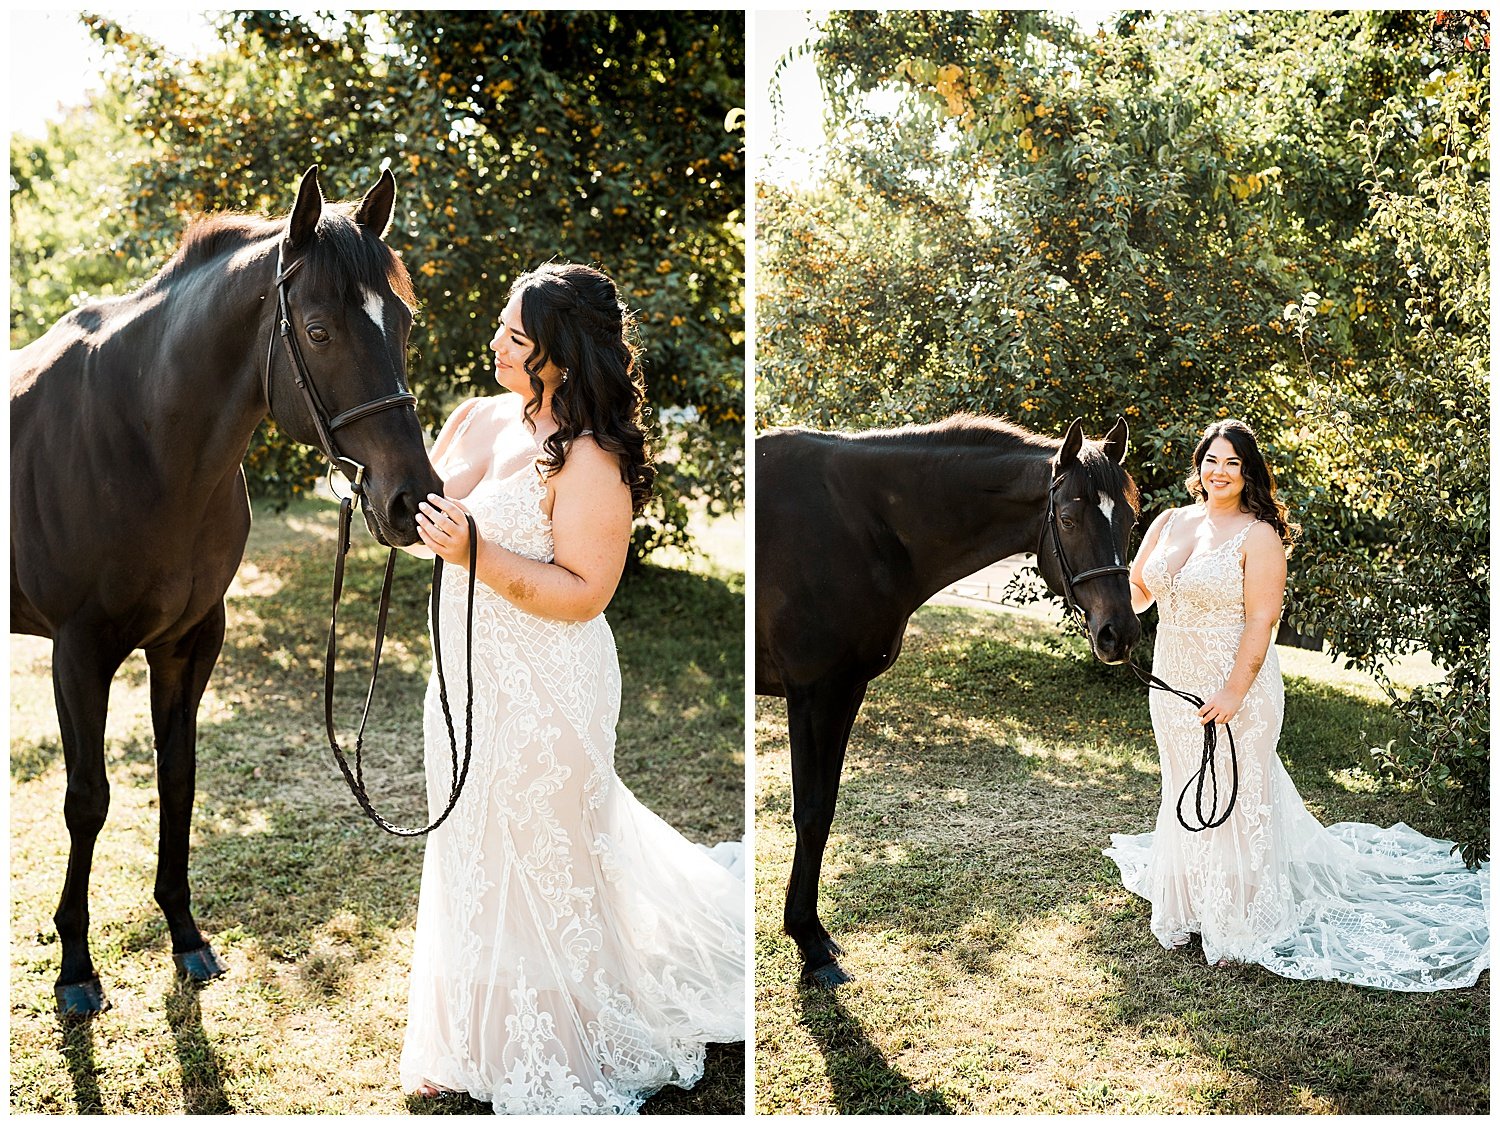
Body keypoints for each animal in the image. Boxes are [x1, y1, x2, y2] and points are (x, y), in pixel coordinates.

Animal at [13, 167, 444, 1020]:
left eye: (405, 322)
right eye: (318, 329)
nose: (410, 499)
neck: (144, 437)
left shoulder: (189, 641)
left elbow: (177, 778)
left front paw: (185, 934)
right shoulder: (78, 653)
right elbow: (87, 799)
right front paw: (76, 965)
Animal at [756, 414, 1140, 984]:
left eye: (1131, 521)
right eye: (1069, 519)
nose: (1121, 633)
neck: (856, 525)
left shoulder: (845, 691)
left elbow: (823, 811)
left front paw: (813, 933)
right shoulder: (813, 694)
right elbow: (811, 812)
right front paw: (809, 942)